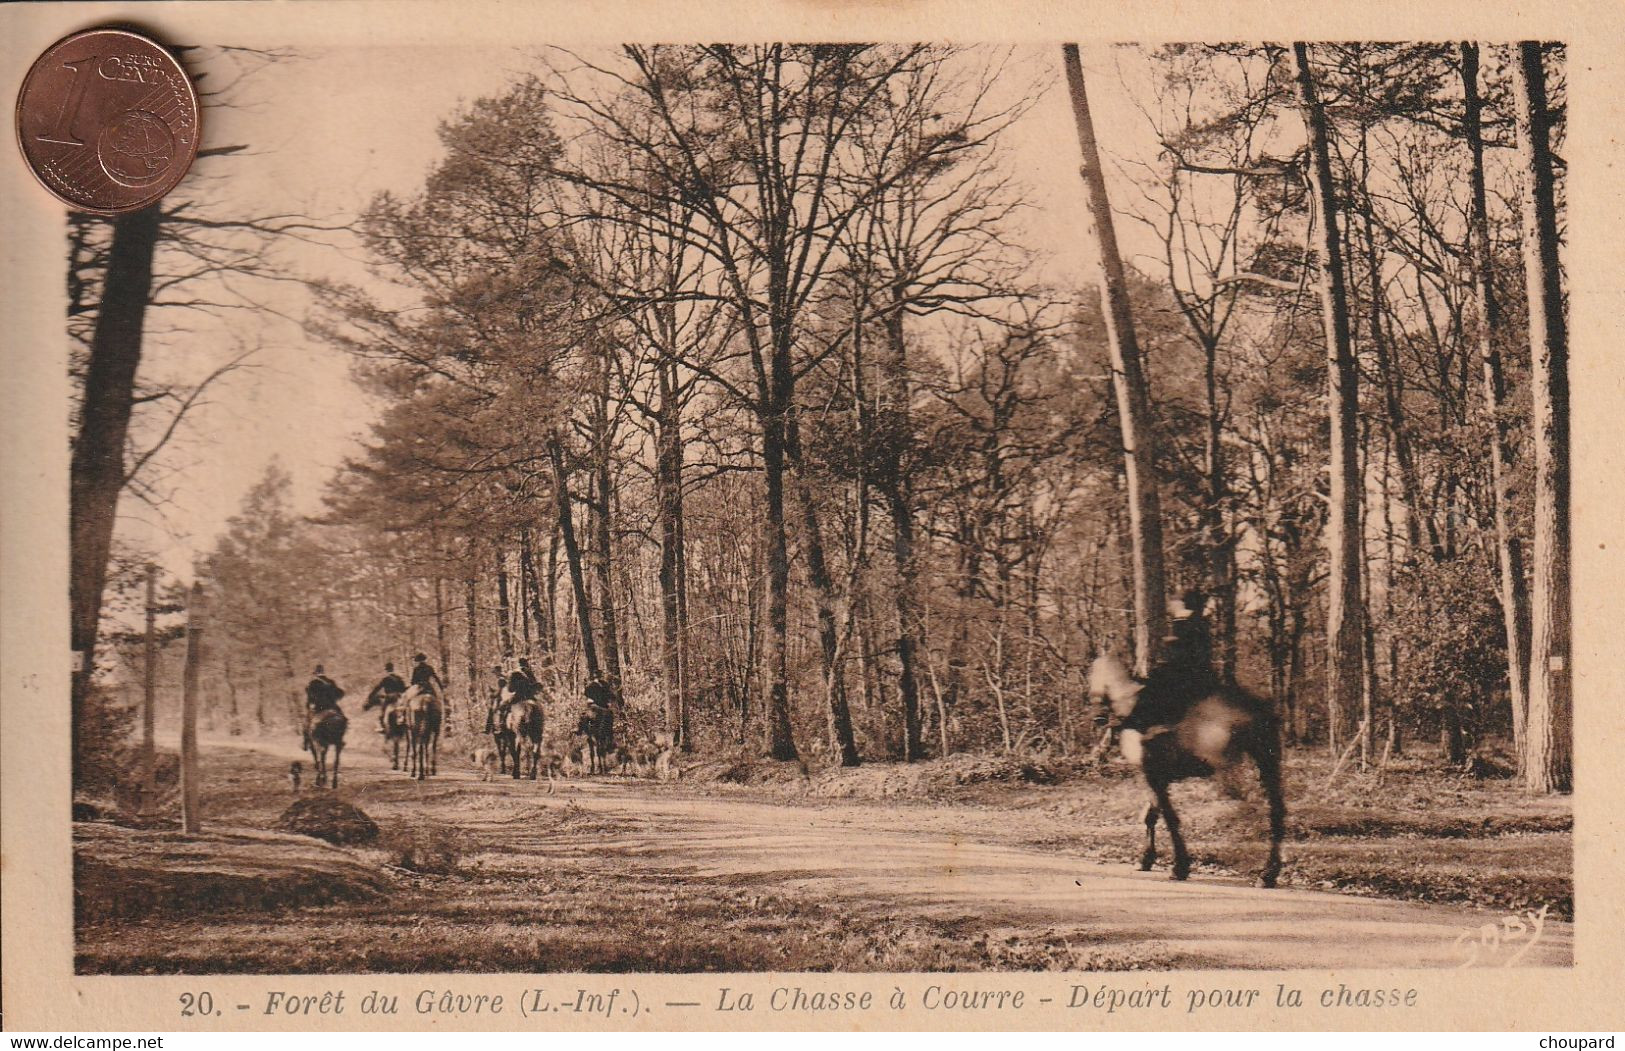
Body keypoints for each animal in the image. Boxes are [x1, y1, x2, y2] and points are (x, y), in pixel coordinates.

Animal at [1092, 656, 1280, 890]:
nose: (1099, 718)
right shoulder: (1156, 777)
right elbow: (1151, 815)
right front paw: (1147, 859)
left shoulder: (1154, 774)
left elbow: (1169, 818)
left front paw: (1179, 867)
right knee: (1275, 812)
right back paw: (1269, 873)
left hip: (1251, 767)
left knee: (1267, 811)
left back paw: (1266, 872)